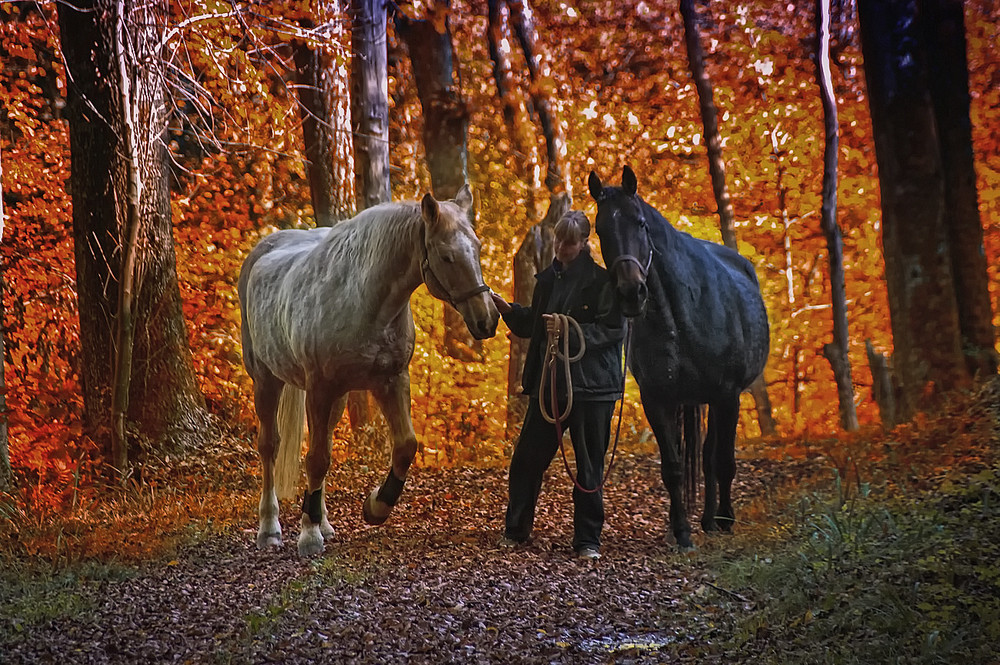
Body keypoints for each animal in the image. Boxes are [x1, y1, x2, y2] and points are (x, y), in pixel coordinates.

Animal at [238, 185, 496, 556]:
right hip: (266, 380)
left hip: (338, 397)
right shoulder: (320, 389)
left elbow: (404, 447)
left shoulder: (390, 382)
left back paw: (323, 521)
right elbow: (316, 458)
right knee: (269, 447)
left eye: (476, 247)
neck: (365, 299)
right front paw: (308, 535)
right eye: (447, 256)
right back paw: (270, 528)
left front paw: (376, 506)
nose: (487, 319)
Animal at [588, 166, 768, 548]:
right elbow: (672, 467)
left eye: (640, 223)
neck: (680, 316)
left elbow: (723, 460)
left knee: (712, 458)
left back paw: (715, 518)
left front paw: (725, 519)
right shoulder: (658, 399)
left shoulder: (727, 395)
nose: (631, 293)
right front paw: (681, 531)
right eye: (600, 230)